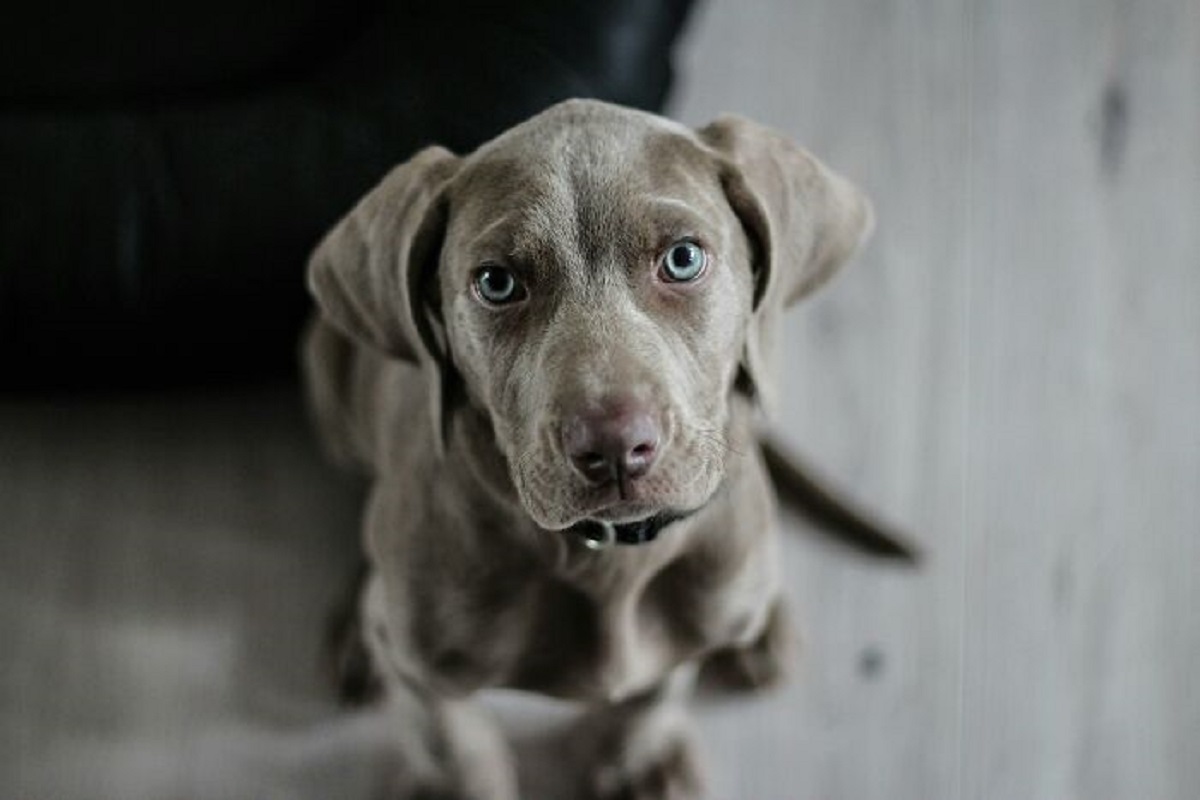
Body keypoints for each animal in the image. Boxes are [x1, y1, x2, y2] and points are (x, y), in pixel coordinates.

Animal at [304, 97, 912, 796]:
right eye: (496, 282)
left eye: (682, 259)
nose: (616, 447)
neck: (607, 558)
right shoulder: (422, 668)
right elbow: (452, 742)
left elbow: (657, 689)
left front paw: (638, 759)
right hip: (325, 371)